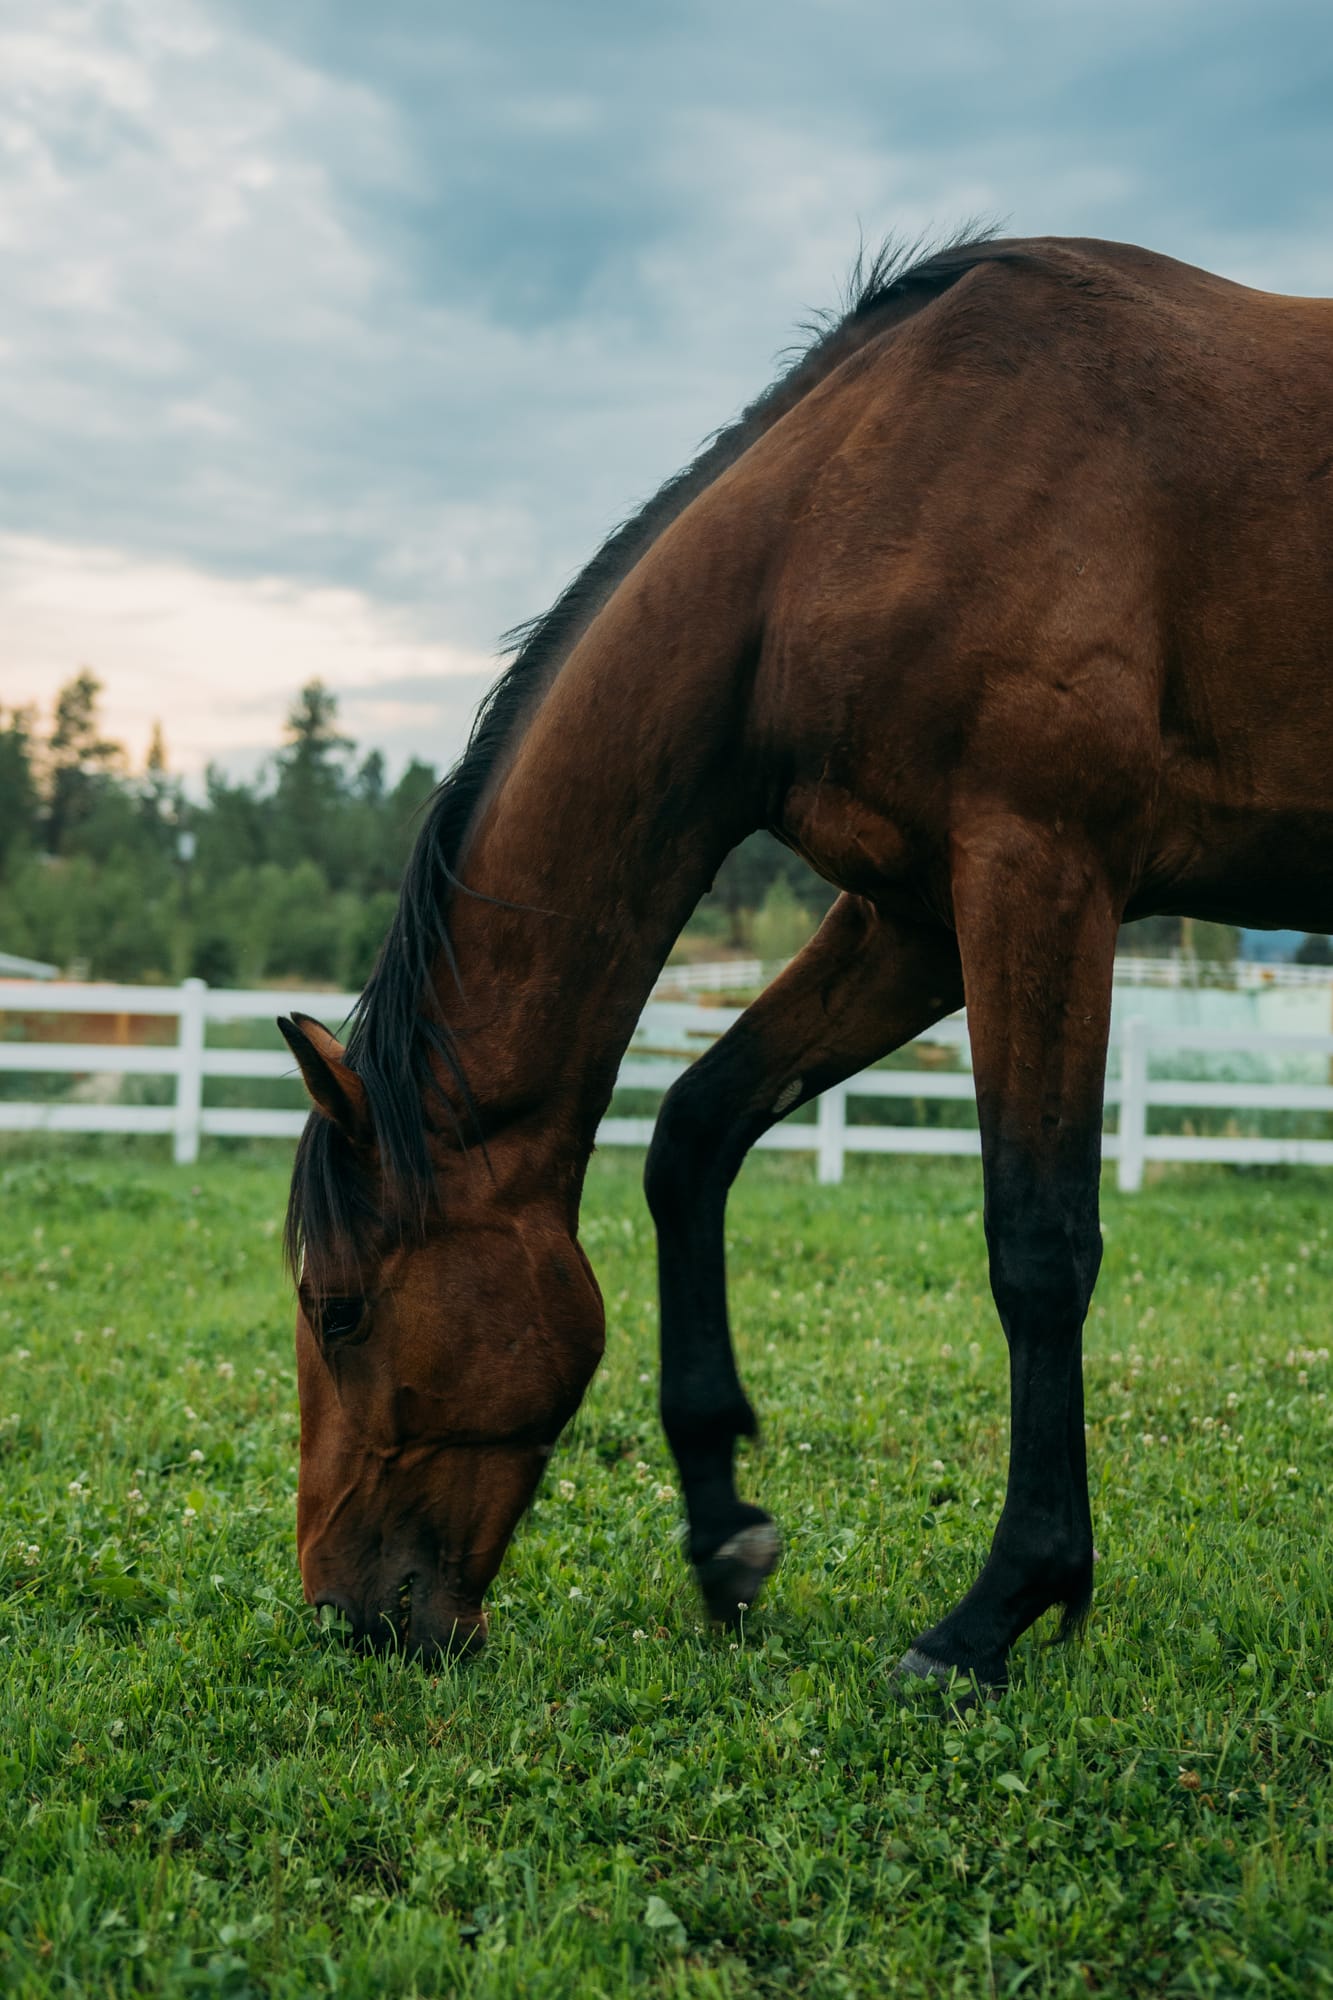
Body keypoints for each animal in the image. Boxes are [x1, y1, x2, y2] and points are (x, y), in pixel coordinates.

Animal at [280, 229, 1333, 1694]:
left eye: (337, 1309)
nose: (344, 1613)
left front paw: (996, 1610)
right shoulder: (911, 918)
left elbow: (1037, 1242)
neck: (853, 507)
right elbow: (693, 1132)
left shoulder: (1037, 872)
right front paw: (724, 1529)